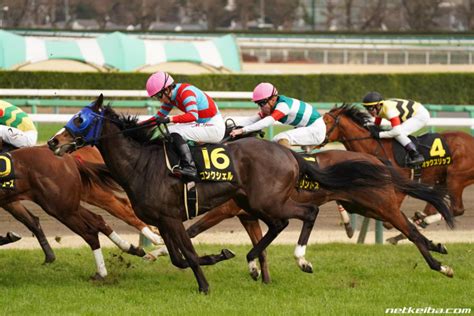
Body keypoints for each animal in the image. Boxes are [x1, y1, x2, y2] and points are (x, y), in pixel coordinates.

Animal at [48, 95, 456, 292]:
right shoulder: (166, 219)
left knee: (312, 217)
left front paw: (206, 284)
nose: (53, 141)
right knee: (282, 225)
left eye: (80, 119)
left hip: (281, 200)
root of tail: (290, 154)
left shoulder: (176, 216)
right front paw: (222, 258)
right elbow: (180, 256)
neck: (142, 163)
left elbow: (188, 254)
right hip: (265, 203)